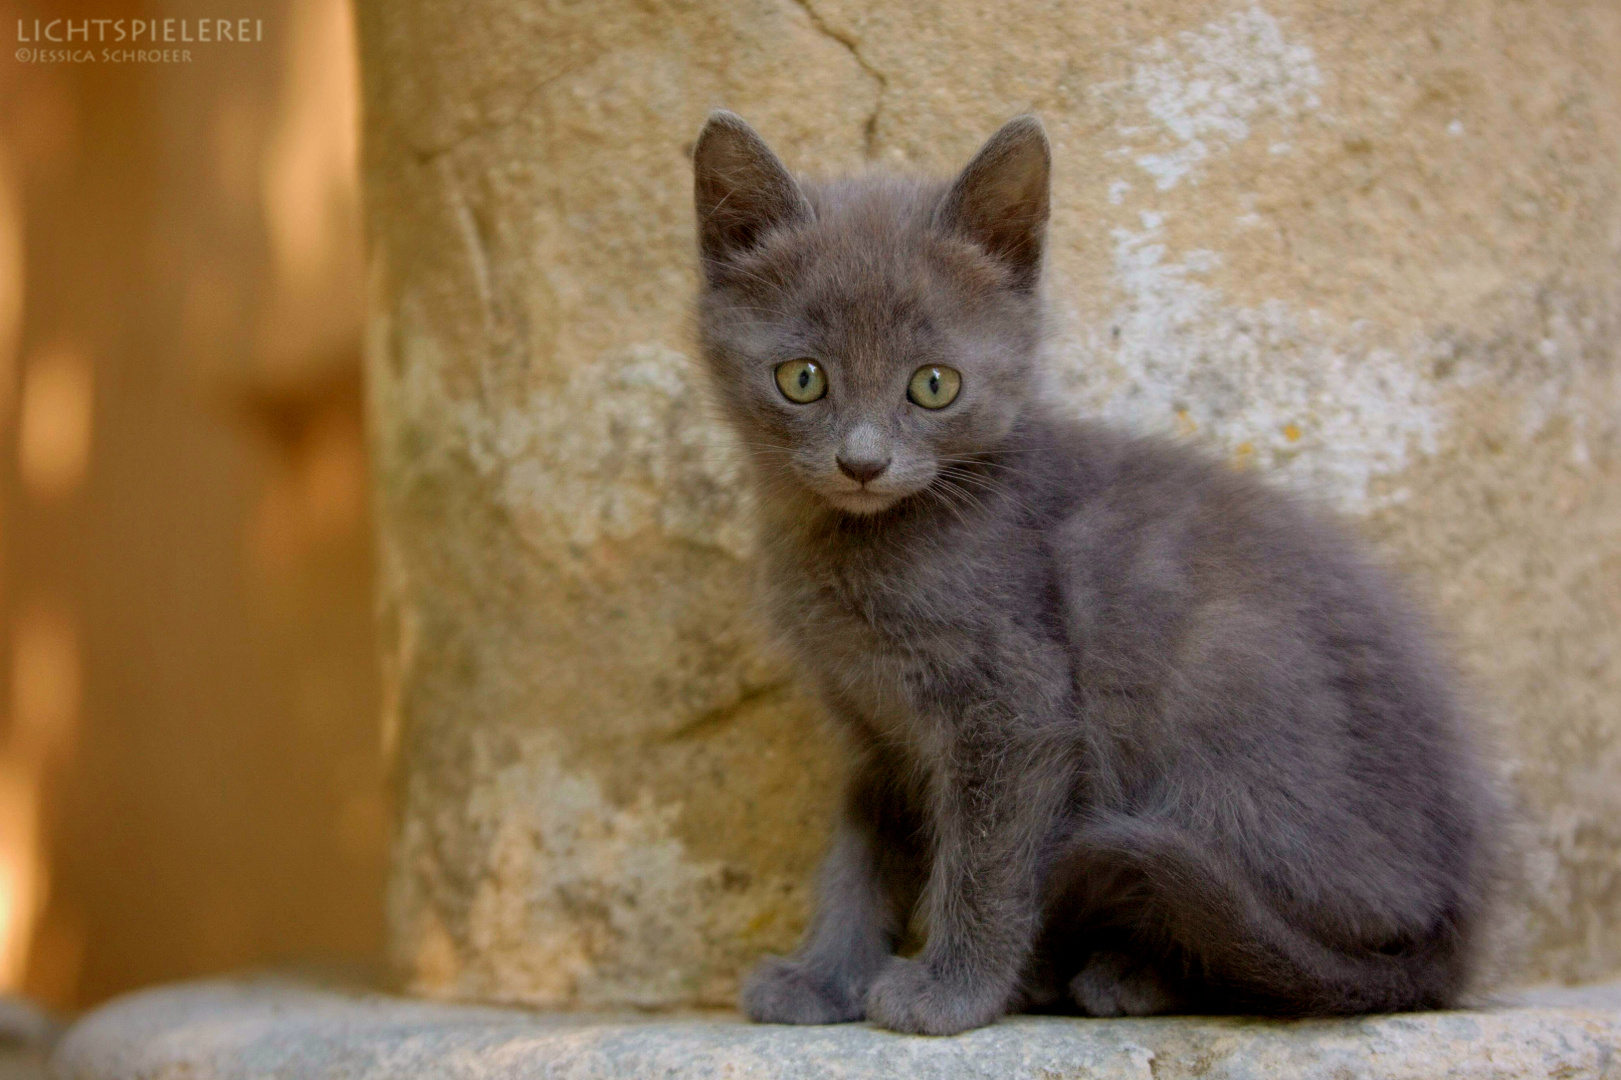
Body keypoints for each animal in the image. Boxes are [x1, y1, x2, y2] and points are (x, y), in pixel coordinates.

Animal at [690, 111, 1484, 1037]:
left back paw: (1124, 975)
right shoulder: (875, 732)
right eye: (802, 377)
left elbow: (986, 860)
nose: (861, 462)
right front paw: (823, 978)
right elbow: (858, 858)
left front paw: (950, 992)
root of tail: (1461, 907)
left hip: (1224, 675)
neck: (857, 546)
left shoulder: (1015, 703)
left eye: (933, 385)